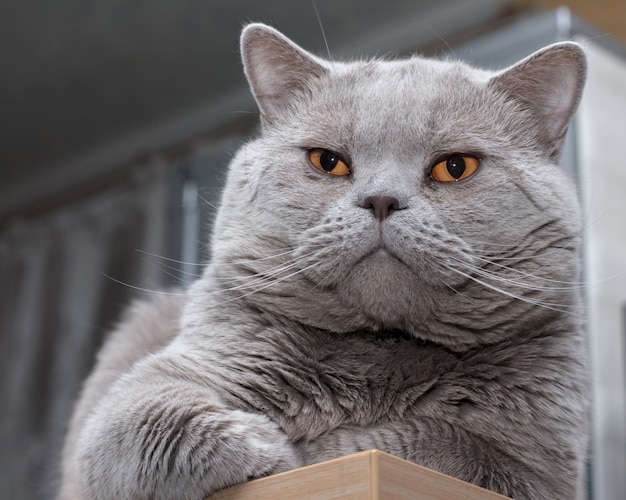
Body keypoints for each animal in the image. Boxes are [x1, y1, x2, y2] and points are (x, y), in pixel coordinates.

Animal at [59, 23, 588, 500]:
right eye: (327, 161)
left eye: (455, 167)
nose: (382, 200)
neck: (375, 361)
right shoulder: (152, 389)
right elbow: (146, 420)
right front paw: (271, 448)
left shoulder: (540, 473)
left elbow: (446, 445)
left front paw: (312, 451)